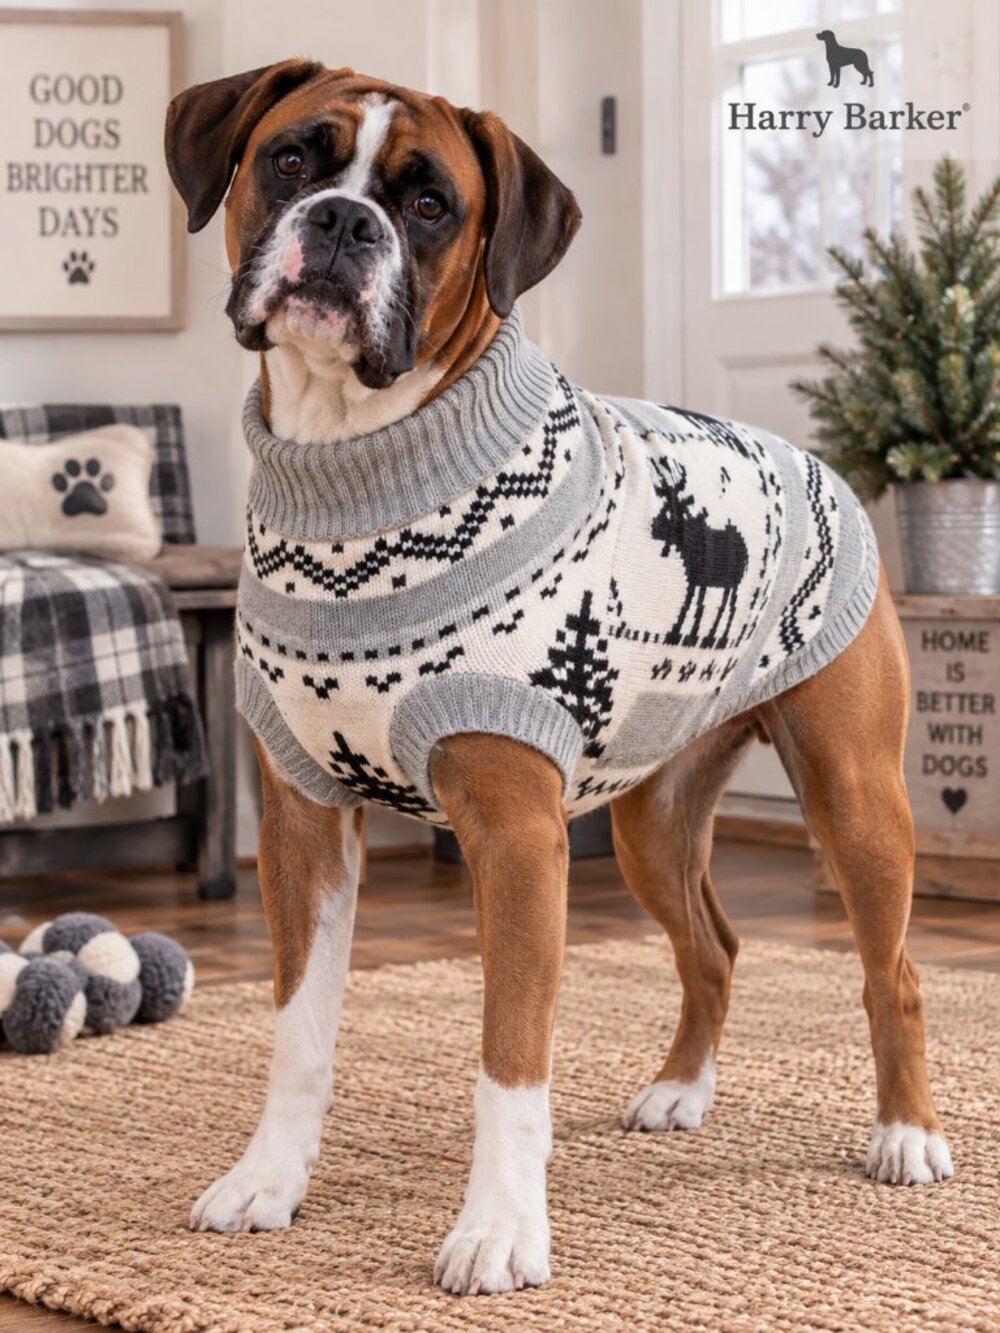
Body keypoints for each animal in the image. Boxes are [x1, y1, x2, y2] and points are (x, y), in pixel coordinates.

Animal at [651, 462, 749, 650]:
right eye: (663, 505)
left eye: (675, 510)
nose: (653, 527)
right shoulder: (693, 579)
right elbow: (688, 603)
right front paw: (675, 633)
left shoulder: (703, 579)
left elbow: (699, 606)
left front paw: (690, 635)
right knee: (724, 605)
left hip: (734, 583)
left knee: (730, 607)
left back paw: (718, 638)